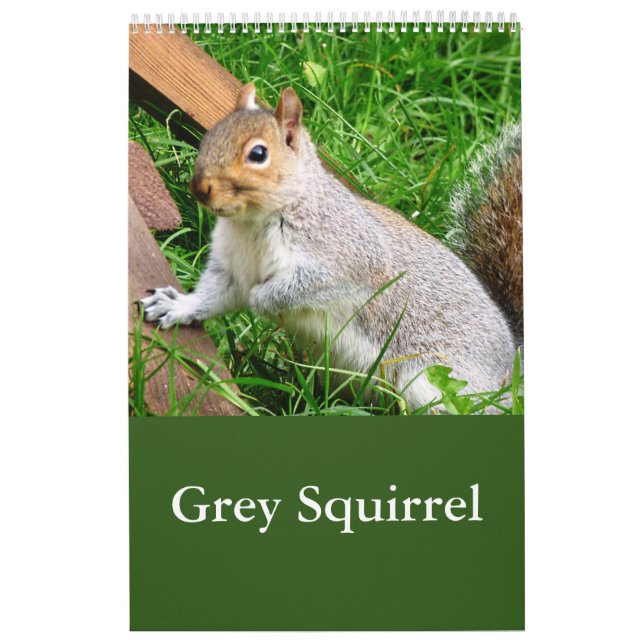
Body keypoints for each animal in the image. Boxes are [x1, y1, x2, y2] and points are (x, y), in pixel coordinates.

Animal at [141, 83, 523, 412]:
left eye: (258, 154)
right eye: (209, 136)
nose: (199, 187)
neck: (253, 223)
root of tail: (512, 365)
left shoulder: (349, 260)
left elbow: (307, 286)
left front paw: (262, 300)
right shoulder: (233, 268)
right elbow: (215, 296)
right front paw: (177, 306)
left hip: (435, 380)